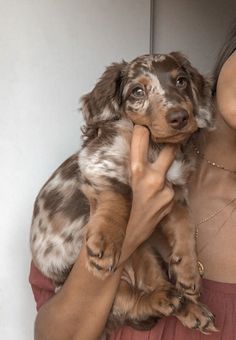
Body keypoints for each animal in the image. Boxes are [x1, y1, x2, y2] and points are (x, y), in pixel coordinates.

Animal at [30, 52, 218, 334]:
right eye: (137, 91)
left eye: (181, 81)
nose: (180, 117)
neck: (155, 146)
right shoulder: (100, 158)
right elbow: (120, 193)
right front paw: (107, 239)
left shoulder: (175, 193)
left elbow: (185, 225)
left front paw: (188, 271)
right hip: (103, 284)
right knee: (131, 301)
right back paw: (165, 300)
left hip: (146, 253)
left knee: (153, 288)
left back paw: (188, 308)